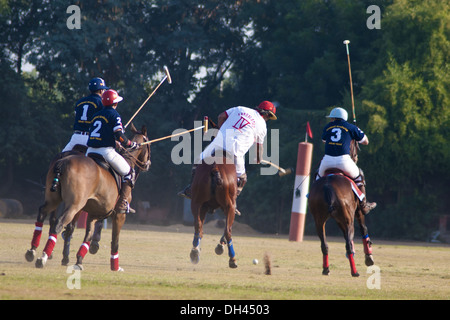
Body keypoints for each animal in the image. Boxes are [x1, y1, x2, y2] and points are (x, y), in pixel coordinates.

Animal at [25, 124, 151, 272]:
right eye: (148, 145)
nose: (148, 164)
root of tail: (63, 162)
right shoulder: (119, 215)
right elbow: (115, 240)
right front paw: (115, 266)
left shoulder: (94, 212)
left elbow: (88, 236)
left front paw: (79, 260)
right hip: (75, 205)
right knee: (59, 223)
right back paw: (44, 257)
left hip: (54, 199)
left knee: (43, 214)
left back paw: (32, 251)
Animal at [308, 141, 374, 278]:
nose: (356, 157)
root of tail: (328, 186)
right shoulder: (357, 213)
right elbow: (363, 228)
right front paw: (369, 257)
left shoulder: (338, 220)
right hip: (348, 219)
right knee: (348, 243)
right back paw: (355, 272)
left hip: (319, 221)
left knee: (324, 245)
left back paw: (326, 269)